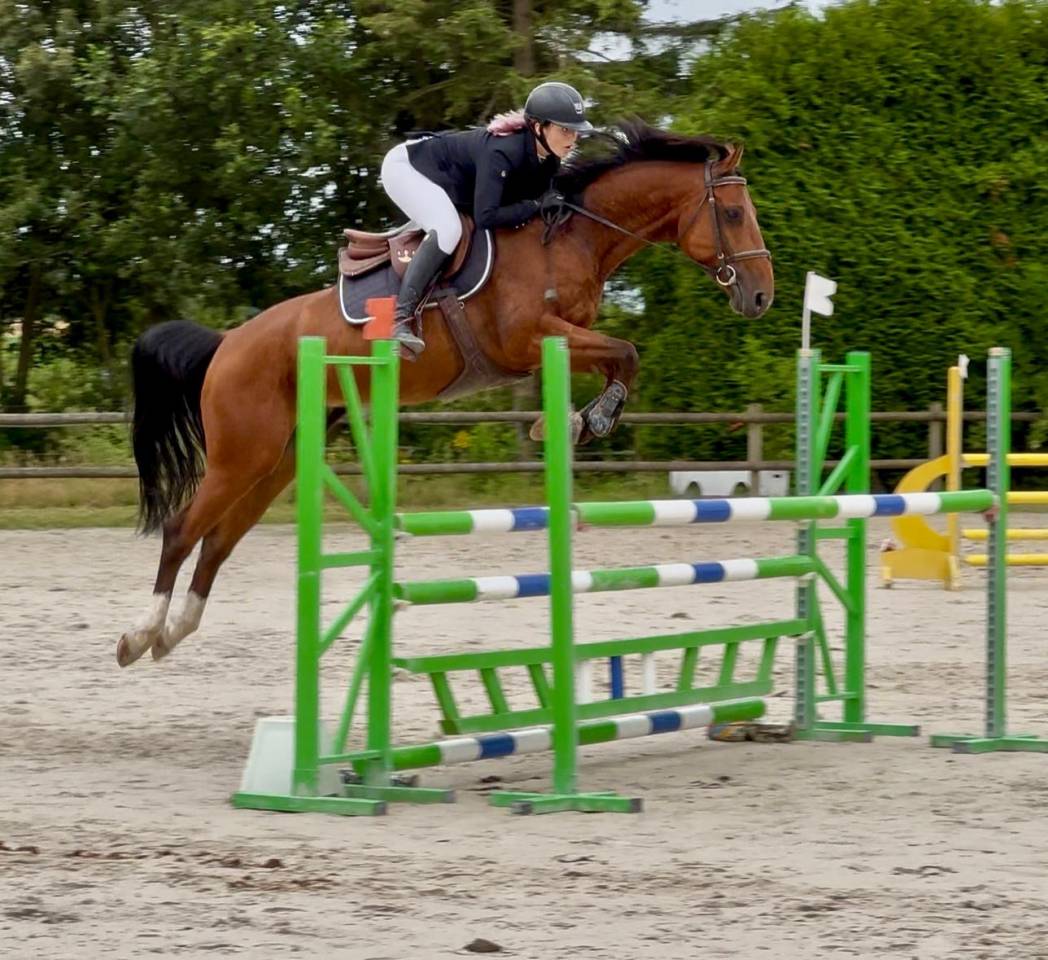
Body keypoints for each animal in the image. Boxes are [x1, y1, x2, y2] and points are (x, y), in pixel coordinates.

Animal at [118, 119, 773, 667]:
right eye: (733, 213)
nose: (762, 295)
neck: (573, 238)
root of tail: (228, 342)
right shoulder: (530, 339)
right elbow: (626, 351)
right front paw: (588, 420)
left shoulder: (558, 341)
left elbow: (623, 357)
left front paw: (577, 421)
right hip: (243, 453)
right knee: (181, 530)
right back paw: (139, 635)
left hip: (280, 459)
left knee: (218, 541)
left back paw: (174, 633)